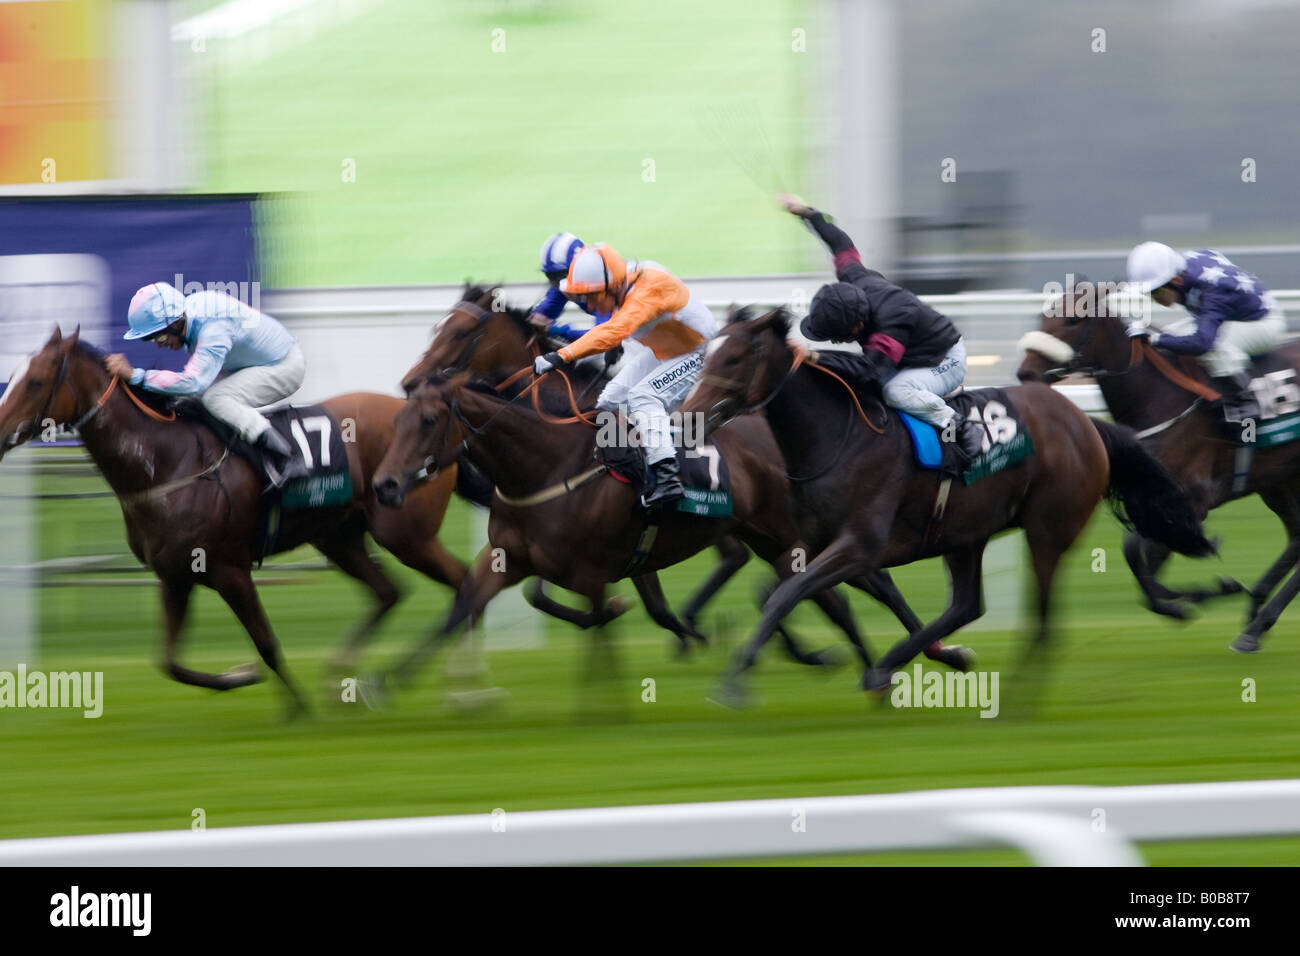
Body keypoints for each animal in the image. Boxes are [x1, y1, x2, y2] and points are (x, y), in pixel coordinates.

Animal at [0, 327, 467, 712]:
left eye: (35, 381)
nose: (0, 431)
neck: (167, 463)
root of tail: (445, 426)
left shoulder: (230, 570)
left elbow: (267, 643)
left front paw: (295, 704)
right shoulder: (175, 576)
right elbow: (169, 662)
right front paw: (237, 676)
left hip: (406, 535)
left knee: (464, 584)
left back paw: (454, 687)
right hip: (339, 537)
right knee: (389, 592)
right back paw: (346, 678)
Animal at [676, 310, 1211, 697]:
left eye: (733, 359)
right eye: (704, 356)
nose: (686, 416)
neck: (837, 438)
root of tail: (1086, 423)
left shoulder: (859, 545)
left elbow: (788, 595)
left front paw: (734, 681)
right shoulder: (817, 544)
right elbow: (785, 594)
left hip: (1047, 529)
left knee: (1038, 619)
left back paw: (1010, 696)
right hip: (966, 531)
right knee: (968, 604)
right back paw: (892, 666)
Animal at [1013, 287, 1300, 655]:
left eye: (1073, 319)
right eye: (1042, 316)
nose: (1026, 372)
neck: (1159, 398)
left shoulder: (1191, 500)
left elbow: (1138, 553)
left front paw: (1198, 595)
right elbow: (1141, 560)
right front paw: (1195, 596)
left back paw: (1255, 623)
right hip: (1278, 481)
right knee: (1297, 538)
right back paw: (1255, 618)